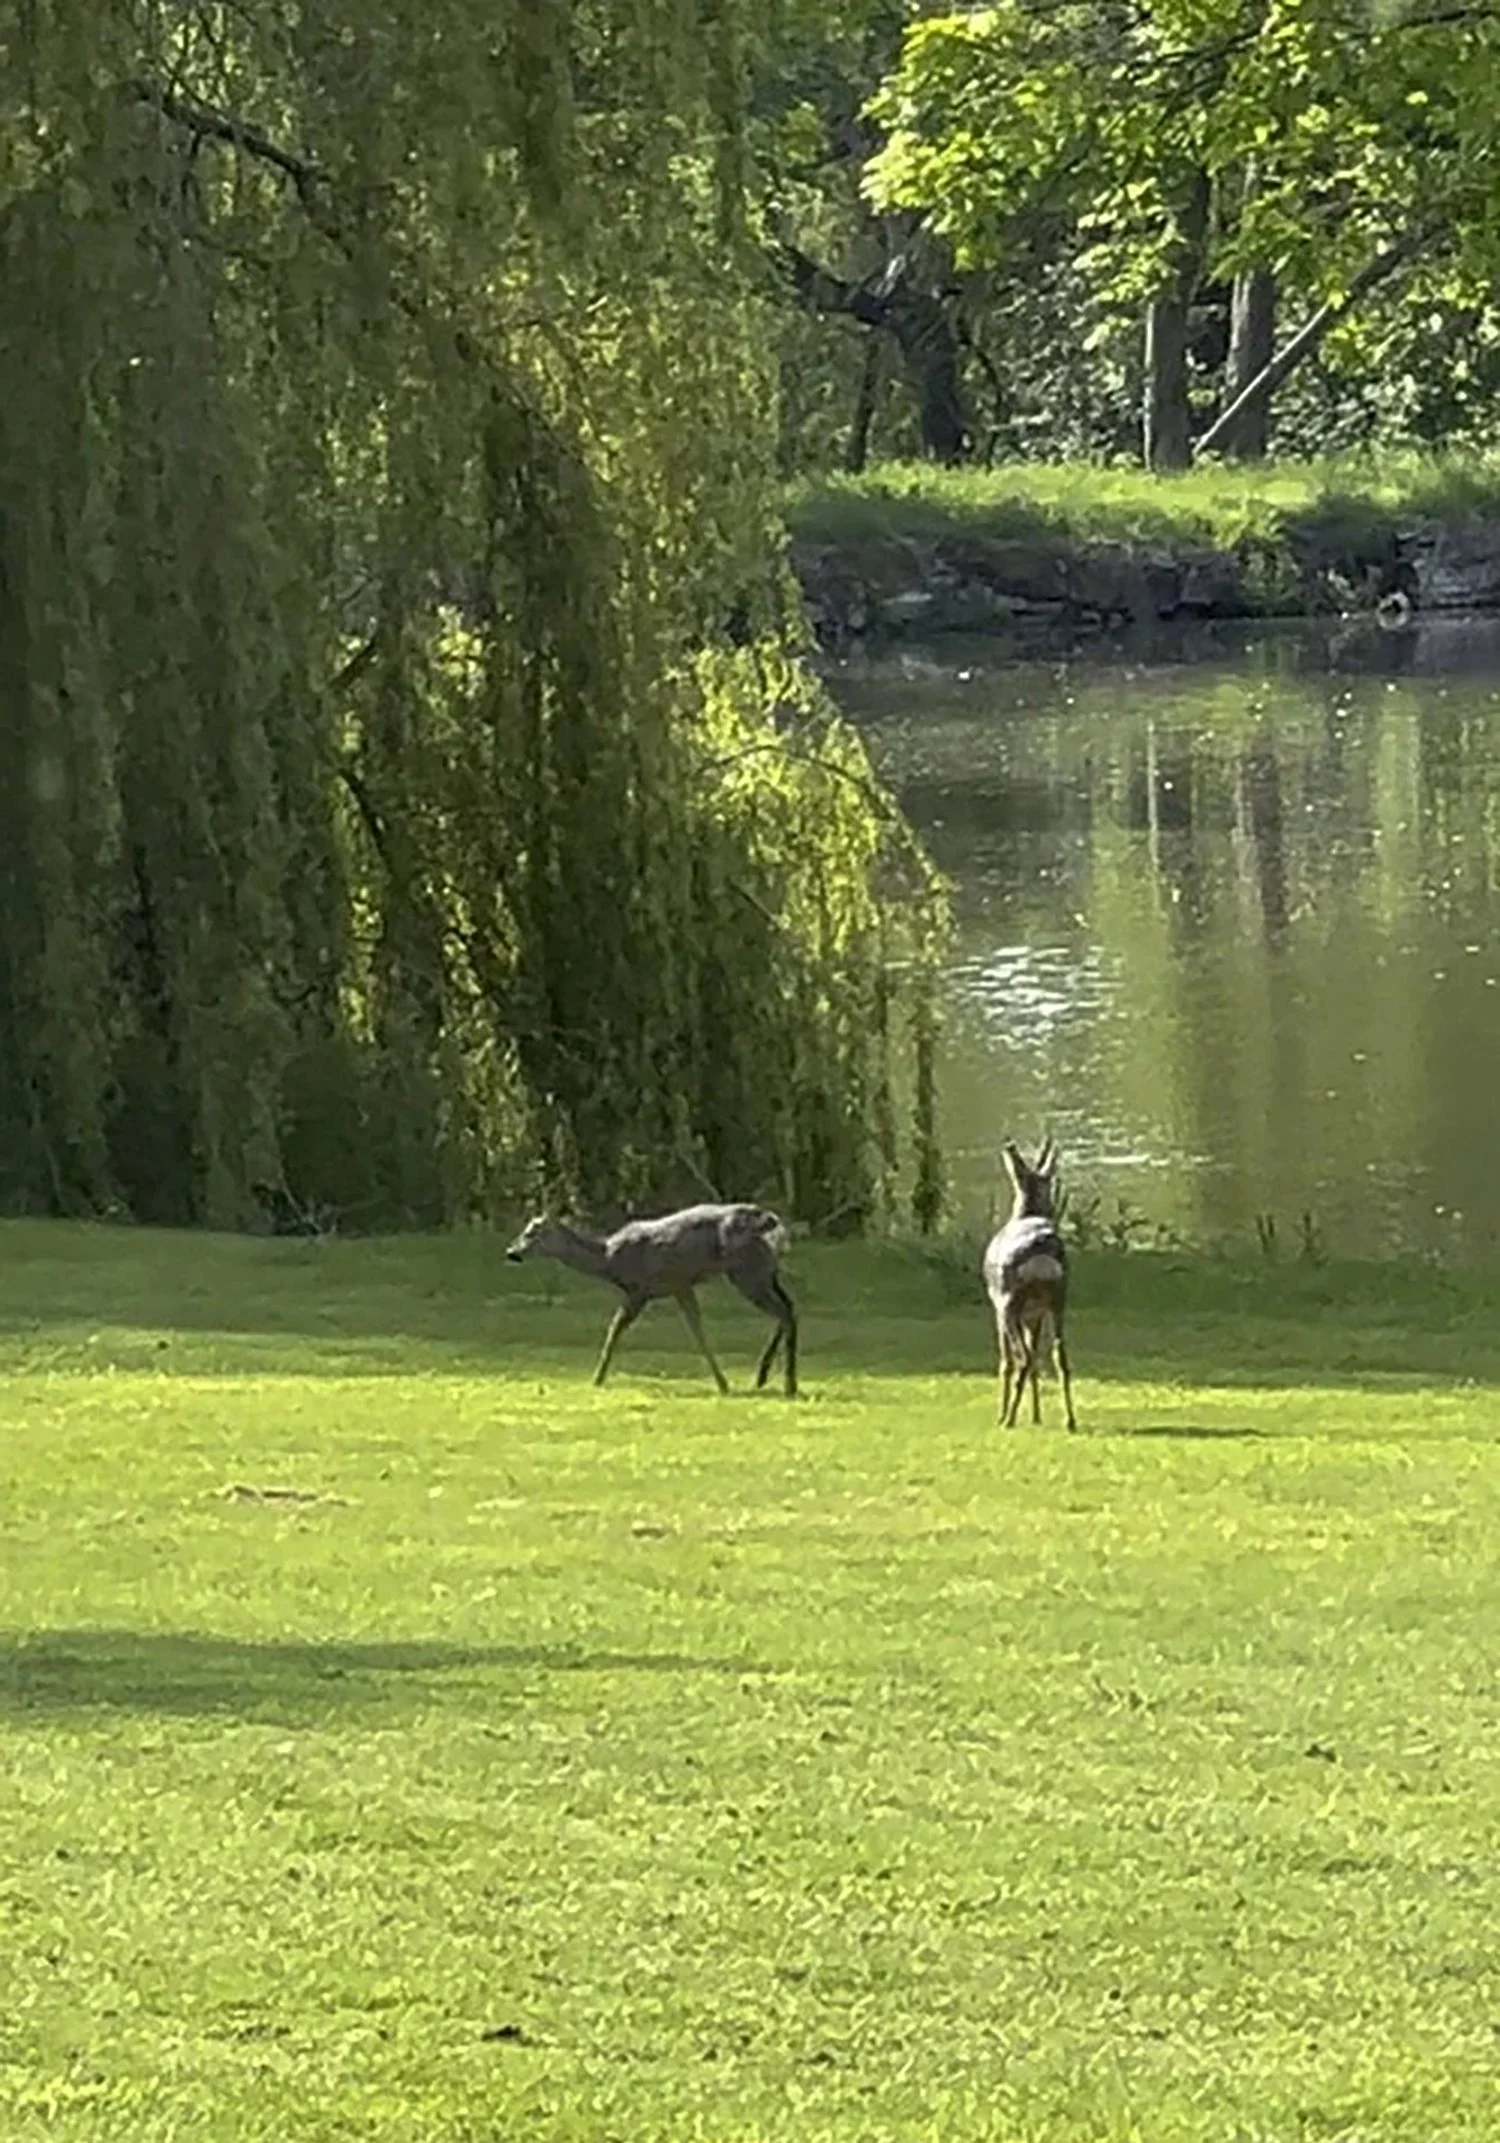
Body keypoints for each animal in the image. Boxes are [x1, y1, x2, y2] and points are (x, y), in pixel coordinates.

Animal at [505, 1202, 799, 1397]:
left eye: (531, 1232)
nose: (511, 1251)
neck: (609, 1259)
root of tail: (773, 1222)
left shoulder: (640, 1289)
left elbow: (615, 1328)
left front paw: (597, 1379)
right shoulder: (680, 1285)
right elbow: (698, 1332)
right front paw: (722, 1384)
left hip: (747, 1271)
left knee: (783, 1312)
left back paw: (785, 1384)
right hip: (767, 1272)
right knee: (790, 1308)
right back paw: (767, 1378)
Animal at [982, 1138, 1077, 1430]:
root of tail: (1043, 1247)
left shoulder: (998, 1307)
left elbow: (1006, 1361)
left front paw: (1003, 1414)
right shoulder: (1034, 1315)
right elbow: (1037, 1358)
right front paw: (1036, 1416)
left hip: (1010, 1300)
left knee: (1021, 1359)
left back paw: (1008, 1419)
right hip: (1058, 1299)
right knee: (1059, 1356)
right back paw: (1070, 1420)